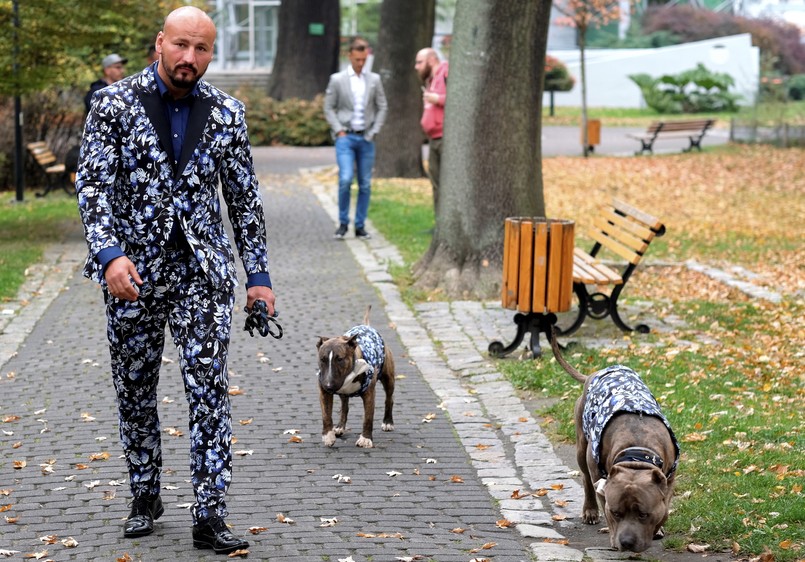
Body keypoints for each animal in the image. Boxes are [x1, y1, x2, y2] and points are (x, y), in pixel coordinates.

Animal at [318, 306, 398, 446]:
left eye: (340, 359)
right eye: (322, 359)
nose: (328, 385)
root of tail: (367, 326)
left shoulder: (369, 393)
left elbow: (368, 418)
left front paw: (365, 439)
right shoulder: (323, 391)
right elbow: (326, 415)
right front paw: (328, 436)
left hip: (388, 378)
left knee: (389, 399)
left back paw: (388, 422)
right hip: (343, 394)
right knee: (344, 406)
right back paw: (339, 427)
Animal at [564, 360, 680, 548]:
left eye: (643, 514)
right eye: (616, 513)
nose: (626, 542)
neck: (637, 456)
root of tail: (595, 373)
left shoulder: (669, 479)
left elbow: (664, 511)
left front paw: (657, 529)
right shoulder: (600, 477)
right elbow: (604, 503)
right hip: (582, 446)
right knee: (586, 478)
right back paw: (590, 510)